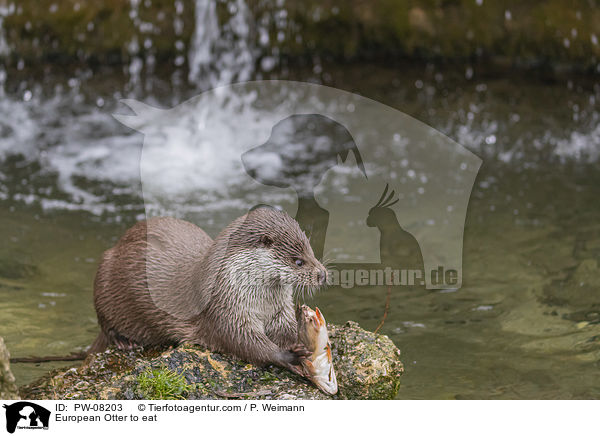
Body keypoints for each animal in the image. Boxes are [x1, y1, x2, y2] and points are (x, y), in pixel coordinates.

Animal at [89, 208, 326, 374]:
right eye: (298, 261)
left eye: (312, 252)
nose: (322, 274)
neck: (260, 303)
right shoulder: (224, 311)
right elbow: (244, 342)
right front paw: (288, 356)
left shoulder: (280, 311)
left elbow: (286, 330)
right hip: (105, 279)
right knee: (106, 325)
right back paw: (124, 341)